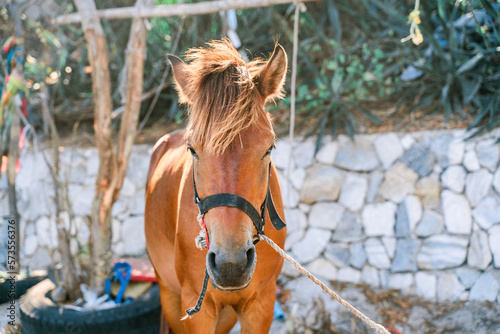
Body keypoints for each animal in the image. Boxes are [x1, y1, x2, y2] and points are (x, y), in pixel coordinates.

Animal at [145, 39, 288, 334]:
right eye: (192, 150)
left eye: (269, 148)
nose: (231, 263)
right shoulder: (196, 309)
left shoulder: (261, 305)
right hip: (167, 291)